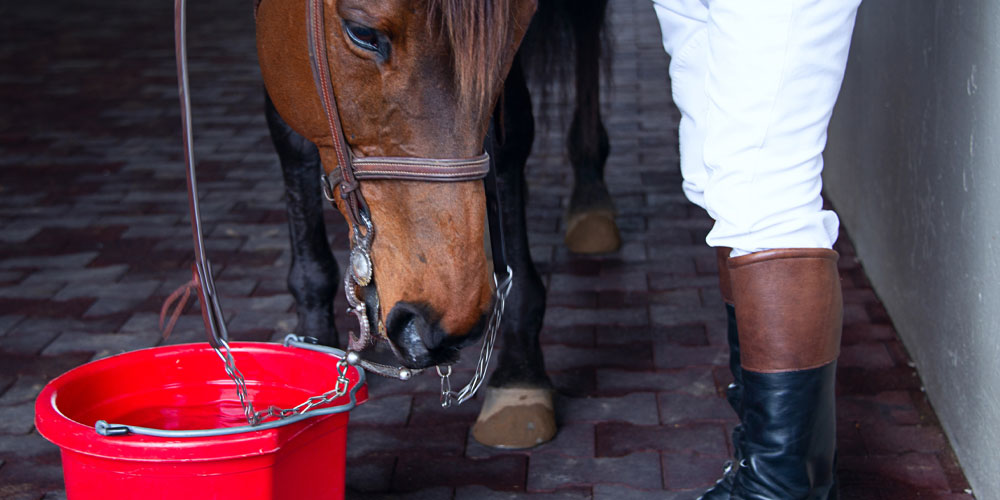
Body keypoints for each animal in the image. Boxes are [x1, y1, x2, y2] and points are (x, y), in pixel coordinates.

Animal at [256, 0, 612, 449]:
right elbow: (290, 137)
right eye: (361, 32)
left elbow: (508, 137)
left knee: (587, 22)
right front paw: (312, 344)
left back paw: (591, 187)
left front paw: (520, 371)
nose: (437, 324)